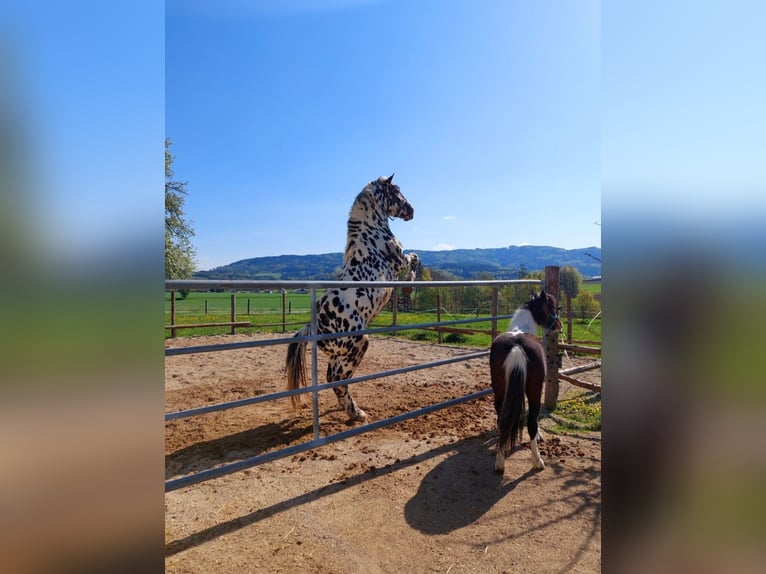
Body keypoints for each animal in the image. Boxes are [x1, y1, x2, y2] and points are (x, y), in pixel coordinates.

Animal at [286, 178, 420, 426]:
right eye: (397, 192)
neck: (372, 234)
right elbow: (415, 257)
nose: (412, 211)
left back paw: (347, 409)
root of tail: (314, 326)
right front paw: (409, 286)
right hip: (357, 344)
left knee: (332, 378)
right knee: (338, 380)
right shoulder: (399, 262)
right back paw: (356, 413)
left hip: (337, 354)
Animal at [492, 290, 564, 474]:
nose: (559, 326)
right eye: (552, 306)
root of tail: (517, 347)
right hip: (534, 390)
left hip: (499, 390)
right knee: (532, 422)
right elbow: (533, 418)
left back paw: (499, 462)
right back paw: (537, 461)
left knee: (502, 420)